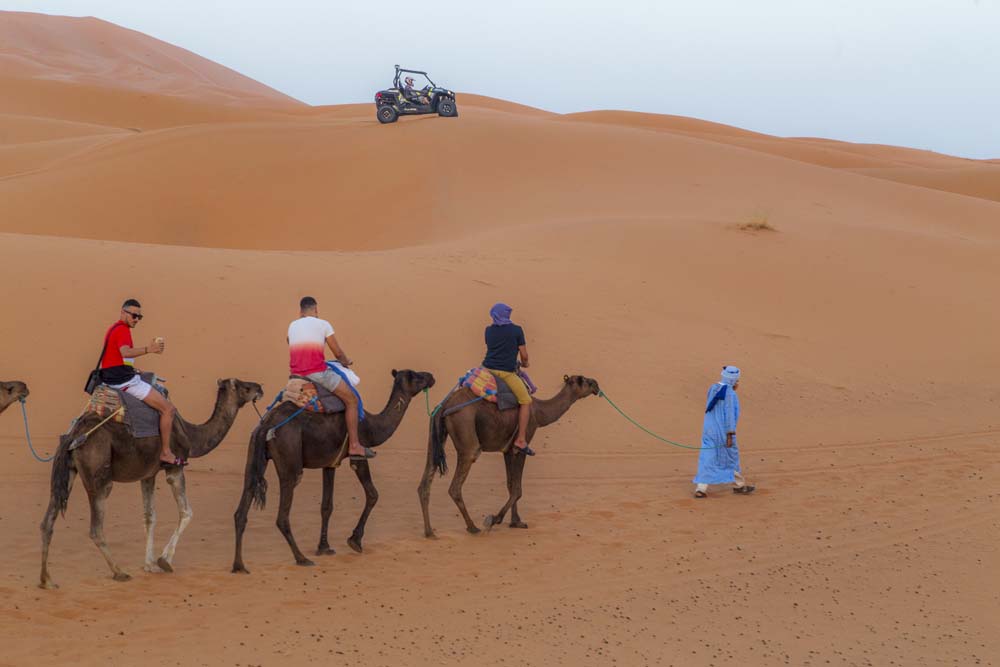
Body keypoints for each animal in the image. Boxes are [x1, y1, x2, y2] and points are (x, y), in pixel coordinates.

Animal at [41, 378, 264, 588]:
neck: (190, 435)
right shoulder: (175, 467)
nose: (260, 388)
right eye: (244, 386)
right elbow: (187, 512)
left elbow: (150, 516)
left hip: (67, 472)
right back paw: (119, 572)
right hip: (98, 476)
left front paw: (150, 565)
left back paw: (46, 580)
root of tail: (74, 435)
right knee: (95, 529)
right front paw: (164, 560)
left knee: (47, 521)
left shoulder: (148, 474)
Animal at [236, 368, 440, 572]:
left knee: (242, 508)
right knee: (282, 515)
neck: (372, 426)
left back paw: (239, 565)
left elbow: (327, 506)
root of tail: (266, 426)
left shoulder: (330, 462)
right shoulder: (359, 455)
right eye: (416, 376)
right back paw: (301, 558)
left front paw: (324, 547)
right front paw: (355, 540)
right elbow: (373, 494)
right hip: (289, 459)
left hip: (254, 456)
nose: (431, 376)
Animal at [416, 376, 596, 536]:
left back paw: (429, 532)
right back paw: (473, 527)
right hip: (465, 429)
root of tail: (444, 406)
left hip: (436, 436)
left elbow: (511, 485)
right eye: (583, 380)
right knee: (456, 483)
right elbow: (518, 489)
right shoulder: (521, 445)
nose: (596, 384)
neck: (539, 412)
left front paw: (516, 521)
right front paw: (494, 519)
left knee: (425, 480)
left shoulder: (507, 450)